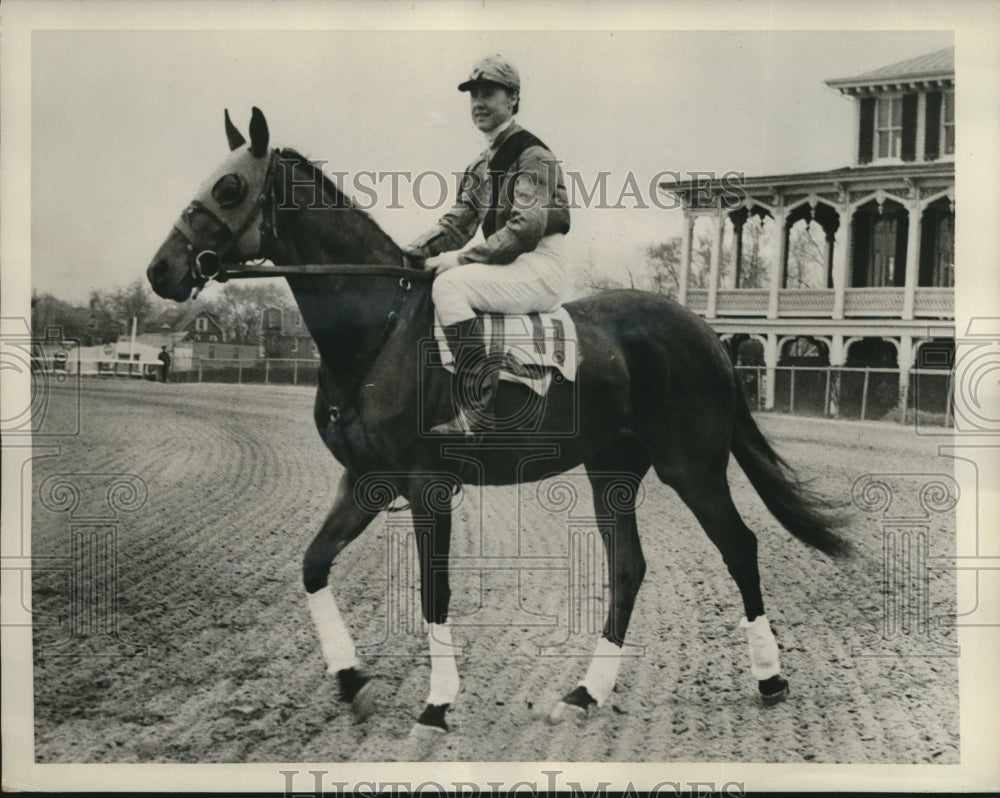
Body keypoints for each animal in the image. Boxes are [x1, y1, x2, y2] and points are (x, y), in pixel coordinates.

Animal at [148, 109, 852, 740]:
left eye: (229, 187)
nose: (161, 270)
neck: (380, 333)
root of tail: (705, 332)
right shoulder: (366, 481)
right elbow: (313, 565)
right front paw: (352, 681)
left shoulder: (427, 488)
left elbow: (434, 593)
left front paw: (436, 704)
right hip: (613, 469)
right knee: (628, 567)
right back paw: (584, 693)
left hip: (693, 466)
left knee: (739, 547)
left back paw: (770, 679)